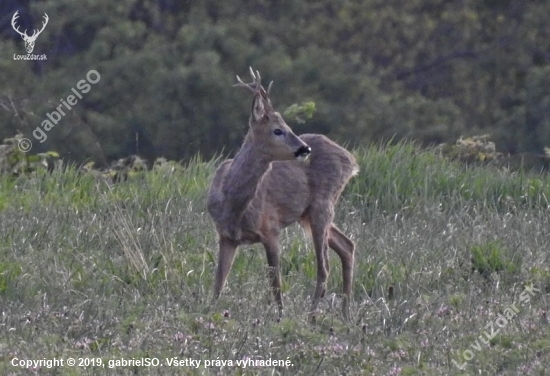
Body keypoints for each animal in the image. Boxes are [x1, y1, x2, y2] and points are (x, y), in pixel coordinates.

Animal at [206, 68, 358, 320]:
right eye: (278, 130)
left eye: (287, 127)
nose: (305, 148)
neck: (233, 203)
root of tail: (351, 161)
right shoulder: (226, 236)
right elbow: (219, 282)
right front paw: (208, 313)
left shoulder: (271, 229)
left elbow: (275, 282)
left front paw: (280, 317)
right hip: (308, 214)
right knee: (347, 245)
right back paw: (345, 315)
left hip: (323, 205)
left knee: (324, 267)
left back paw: (312, 317)